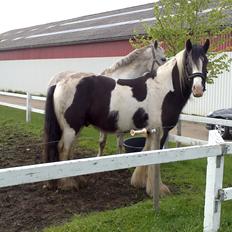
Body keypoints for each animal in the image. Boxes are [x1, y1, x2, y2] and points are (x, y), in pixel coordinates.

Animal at [43, 39, 210, 195]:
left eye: (206, 61)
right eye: (188, 62)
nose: (198, 89)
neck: (164, 88)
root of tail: (58, 83)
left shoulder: (150, 131)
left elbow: (146, 152)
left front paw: (140, 182)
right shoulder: (161, 131)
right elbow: (155, 158)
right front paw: (158, 189)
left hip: (75, 128)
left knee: (69, 149)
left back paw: (76, 180)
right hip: (71, 128)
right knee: (63, 149)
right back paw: (67, 184)